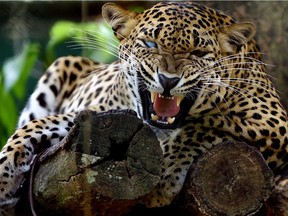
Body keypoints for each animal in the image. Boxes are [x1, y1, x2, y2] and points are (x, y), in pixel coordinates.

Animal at [0, 1, 288, 214]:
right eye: (150, 44)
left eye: (197, 53)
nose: (168, 80)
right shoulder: (100, 114)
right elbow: (34, 127)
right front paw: (4, 176)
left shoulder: (274, 122)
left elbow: (205, 124)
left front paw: (165, 177)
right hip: (63, 63)